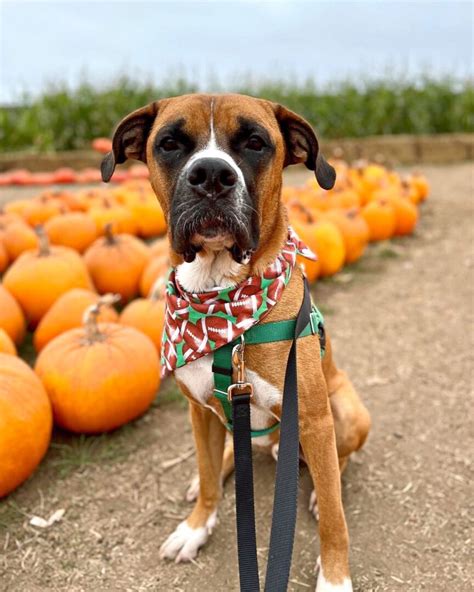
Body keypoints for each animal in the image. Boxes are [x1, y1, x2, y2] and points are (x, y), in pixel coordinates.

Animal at [102, 95, 372, 588]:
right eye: (169, 143)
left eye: (255, 142)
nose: (211, 175)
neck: (219, 299)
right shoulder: (197, 411)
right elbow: (210, 478)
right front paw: (196, 526)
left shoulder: (314, 419)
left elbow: (335, 518)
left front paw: (335, 575)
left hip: (347, 412)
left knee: (336, 467)